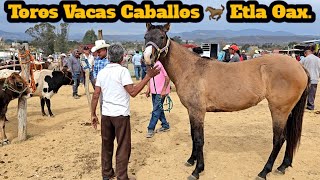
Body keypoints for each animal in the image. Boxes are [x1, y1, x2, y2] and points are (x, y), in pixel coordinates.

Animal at [144, 23, 312, 179]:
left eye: (162, 37)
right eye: (146, 37)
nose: (147, 58)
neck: (190, 69)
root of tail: (299, 66)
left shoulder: (198, 111)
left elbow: (198, 139)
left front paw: (197, 170)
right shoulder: (192, 111)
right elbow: (193, 135)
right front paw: (191, 160)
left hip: (279, 110)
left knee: (279, 139)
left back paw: (264, 171)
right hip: (288, 111)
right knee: (289, 137)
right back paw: (283, 166)